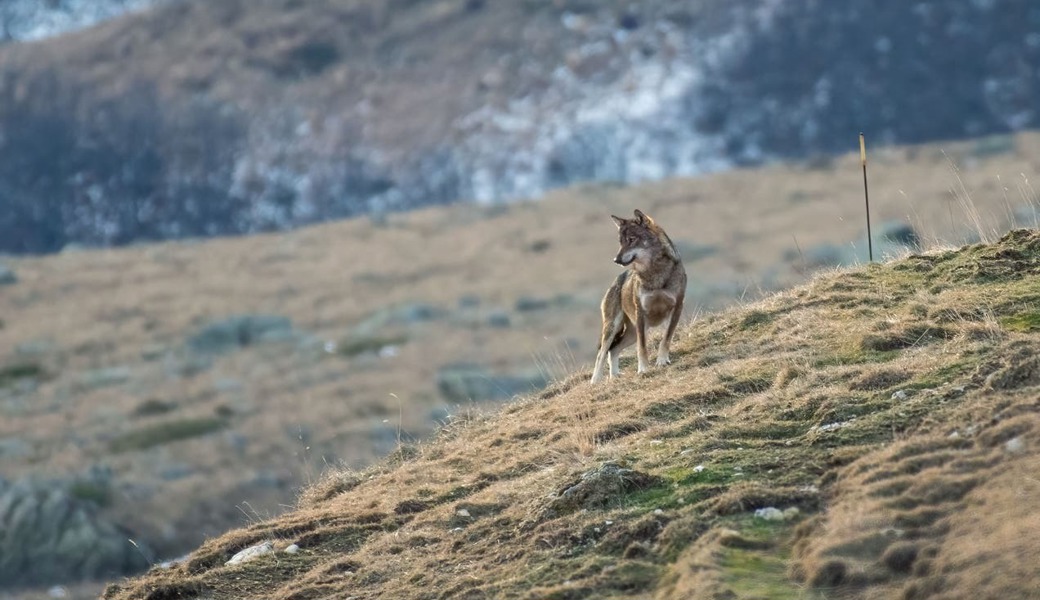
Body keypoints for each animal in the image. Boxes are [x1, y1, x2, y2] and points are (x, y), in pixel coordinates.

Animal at [590, 207, 686, 380]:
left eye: (631, 239)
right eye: (621, 242)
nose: (616, 260)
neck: (655, 273)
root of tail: (616, 280)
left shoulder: (676, 308)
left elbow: (666, 338)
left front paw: (662, 360)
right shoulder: (640, 312)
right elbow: (642, 347)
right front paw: (643, 369)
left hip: (631, 332)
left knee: (613, 350)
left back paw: (614, 377)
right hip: (614, 327)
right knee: (602, 353)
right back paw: (596, 381)